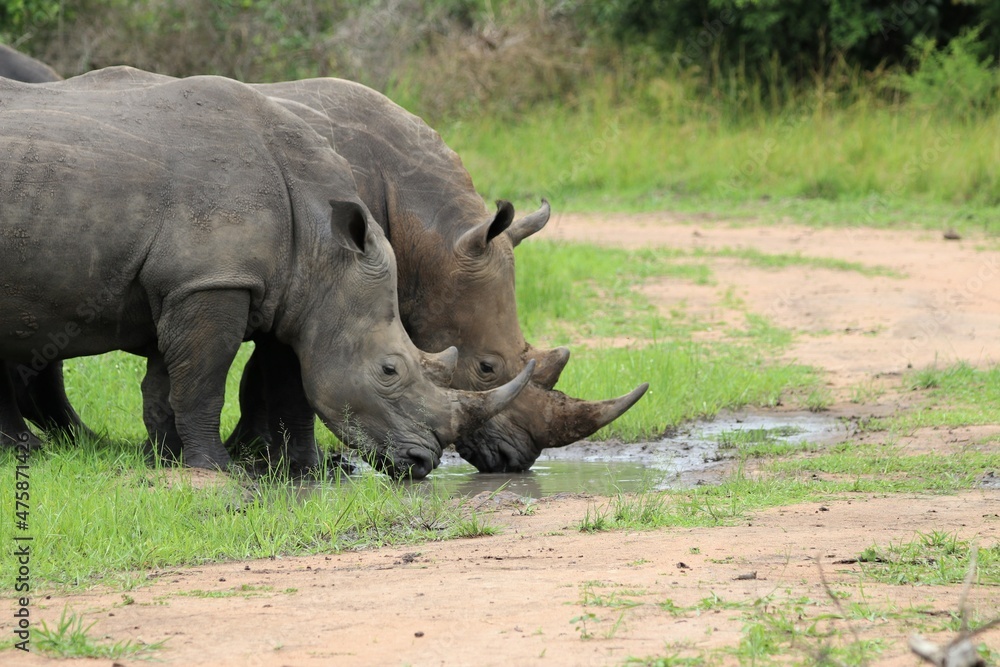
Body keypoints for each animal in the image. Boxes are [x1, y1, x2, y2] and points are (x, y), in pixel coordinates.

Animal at [10, 67, 648, 475]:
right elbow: (281, 375)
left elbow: (266, 373)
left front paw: (256, 455)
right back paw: (43, 451)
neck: (425, 230)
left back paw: (70, 447)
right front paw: (291, 465)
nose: (517, 461)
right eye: (486, 368)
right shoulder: (302, 276)